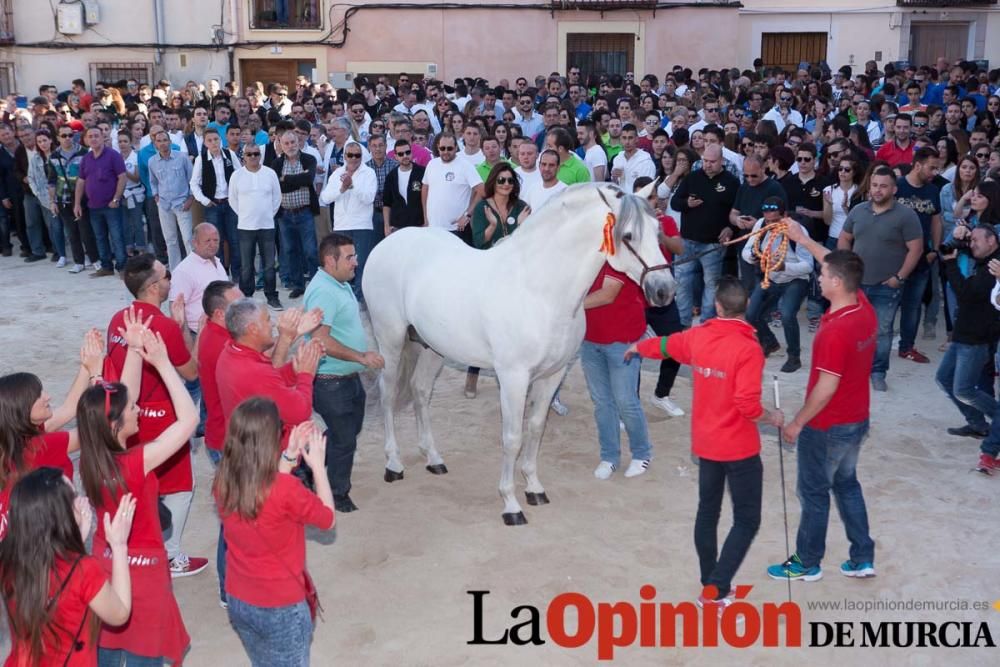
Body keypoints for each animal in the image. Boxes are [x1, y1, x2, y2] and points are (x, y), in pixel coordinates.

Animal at [364, 183, 676, 528]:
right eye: (629, 235)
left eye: (658, 230)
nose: (664, 290)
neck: (540, 291)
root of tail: (389, 241)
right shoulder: (513, 378)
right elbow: (512, 438)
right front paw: (511, 505)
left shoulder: (552, 375)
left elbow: (536, 429)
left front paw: (535, 489)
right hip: (391, 341)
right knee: (388, 395)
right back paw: (393, 464)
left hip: (432, 347)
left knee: (420, 391)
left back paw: (433, 459)